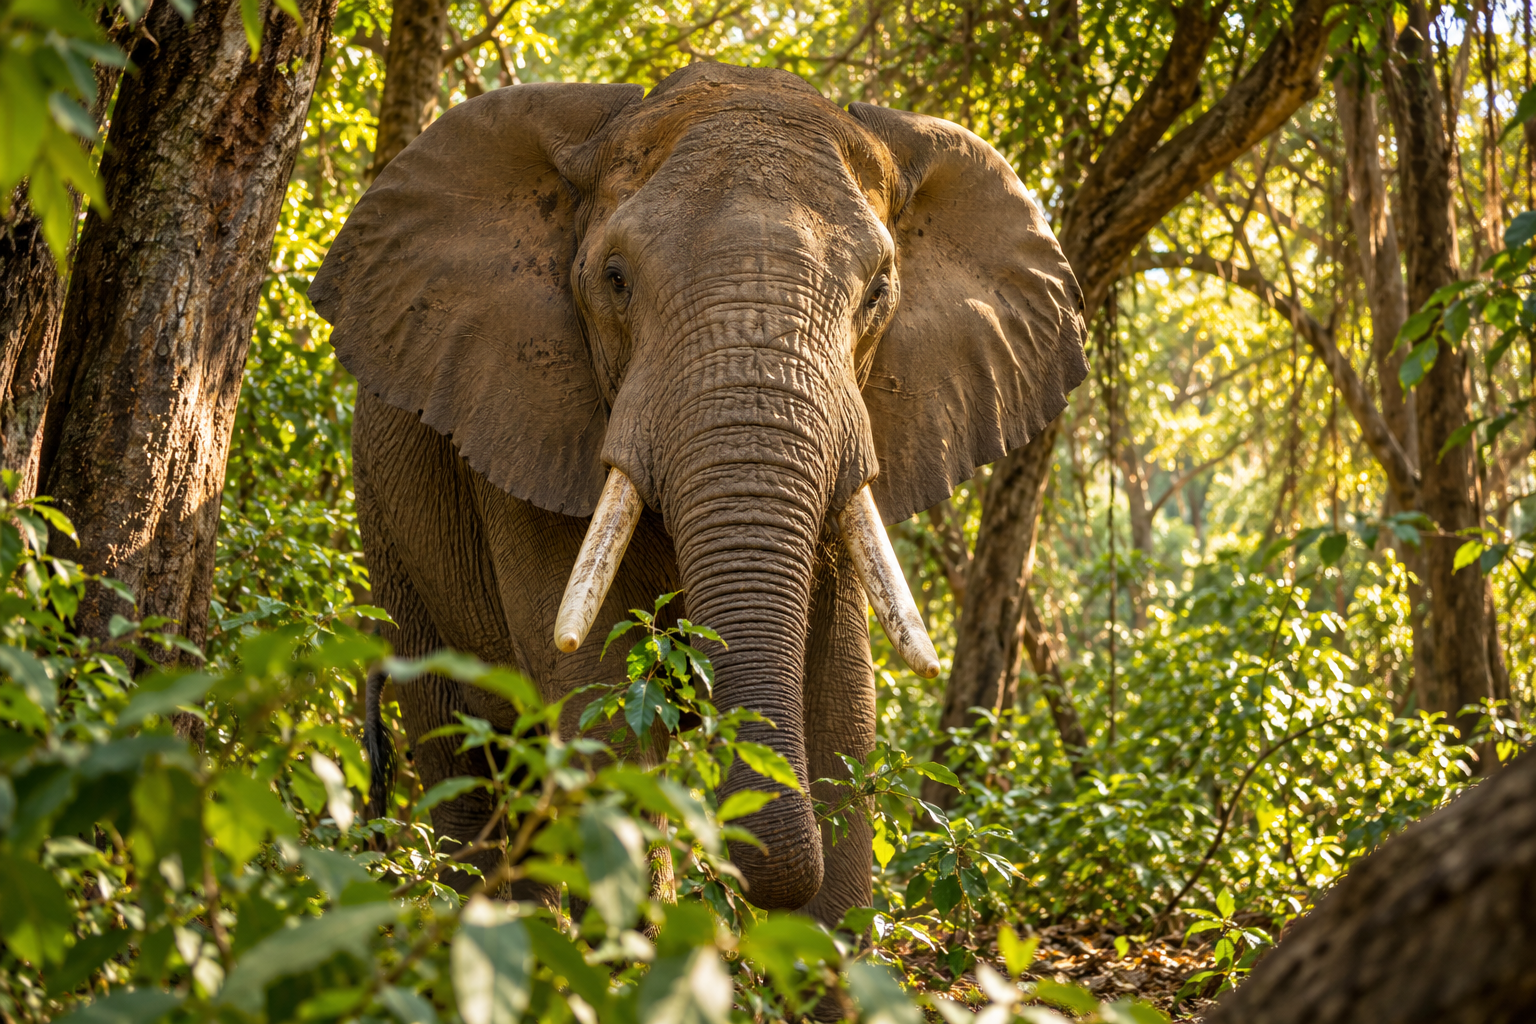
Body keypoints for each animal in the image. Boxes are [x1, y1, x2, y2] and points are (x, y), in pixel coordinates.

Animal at [309, 60, 1086, 926]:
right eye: (614, 280)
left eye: (879, 291)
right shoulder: (524, 424)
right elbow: (600, 704)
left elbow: (840, 713)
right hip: (388, 523)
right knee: (467, 759)